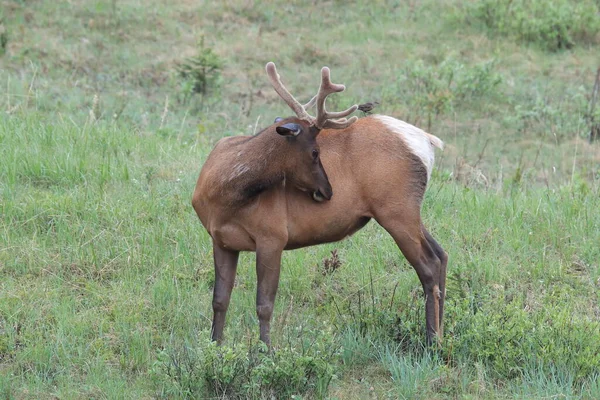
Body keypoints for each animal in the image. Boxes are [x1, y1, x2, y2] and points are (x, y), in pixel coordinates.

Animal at [191, 61, 446, 346]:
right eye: (315, 152)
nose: (328, 191)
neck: (223, 197)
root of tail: (427, 141)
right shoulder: (221, 240)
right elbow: (219, 299)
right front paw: (215, 345)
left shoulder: (272, 235)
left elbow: (264, 304)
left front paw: (265, 350)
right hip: (407, 211)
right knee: (441, 254)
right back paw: (441, 333)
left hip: (396, 210)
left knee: (428, 265)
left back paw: (432, 341)